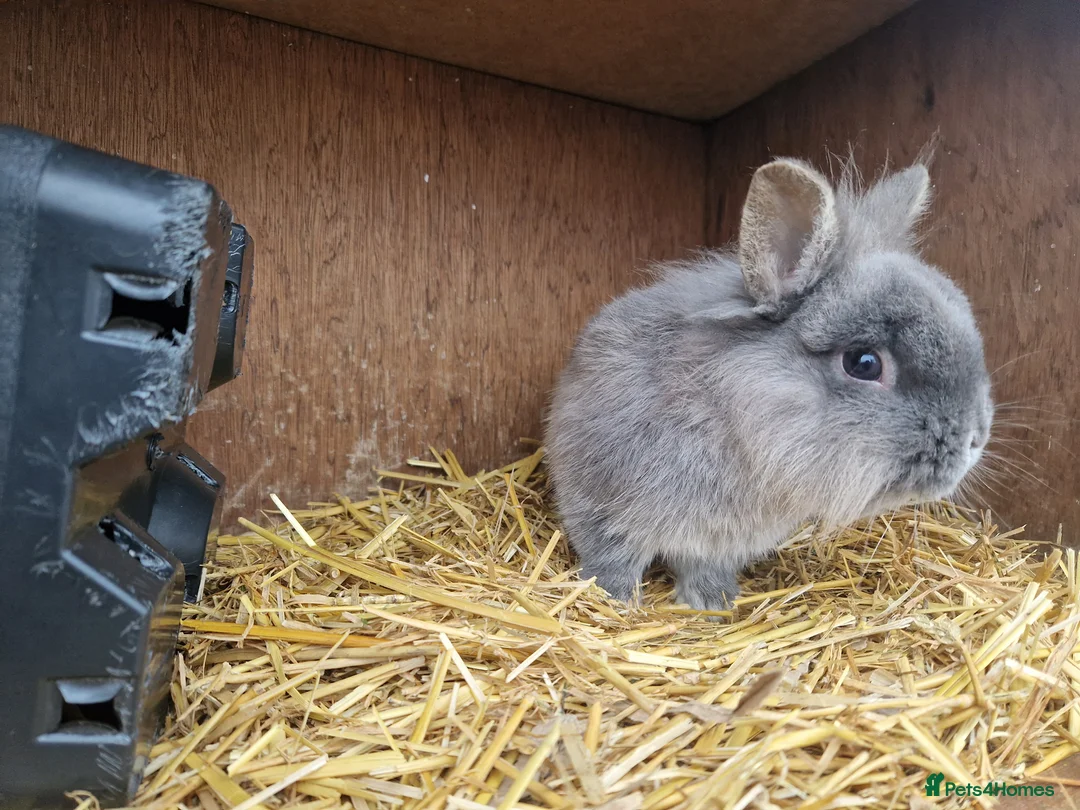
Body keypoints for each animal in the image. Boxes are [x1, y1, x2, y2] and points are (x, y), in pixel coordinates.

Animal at [544, 154, 993, 612]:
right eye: (864, 363)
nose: (975, 439)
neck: (731, 422)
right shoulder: (603, 509)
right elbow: (614, 559)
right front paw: (617, 602)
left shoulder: (715, 545)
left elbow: (703, 570)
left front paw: (715, 606)